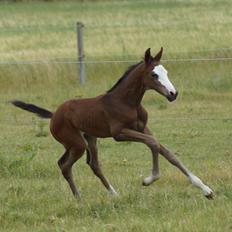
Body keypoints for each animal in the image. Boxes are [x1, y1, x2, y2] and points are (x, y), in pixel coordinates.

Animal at [11, 47, 214, 199]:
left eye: (166, 72)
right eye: (154, 75)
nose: (173, 94)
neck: (127, 102)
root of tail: (54, 115)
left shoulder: (143, 128)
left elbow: (166, 151)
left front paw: (206, 190)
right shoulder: (119, 133)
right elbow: (154, 144)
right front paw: (149, 179)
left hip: (86, 140)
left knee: (89, 164)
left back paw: (113, 193)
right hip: (77, 143)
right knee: (66, 166)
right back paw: (79, 198)